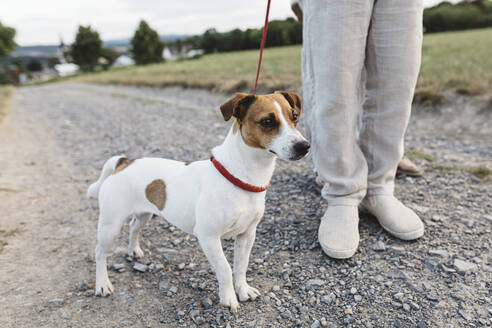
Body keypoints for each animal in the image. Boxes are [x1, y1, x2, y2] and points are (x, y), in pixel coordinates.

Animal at [87, 91, 310, 312]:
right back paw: (102, 284)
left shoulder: (247, 234)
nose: (305, 146)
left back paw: (133, 250)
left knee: (134, 228)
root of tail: (124, 161)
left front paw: (243, 290)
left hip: (144, 214)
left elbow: (241, 266)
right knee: (99, 253)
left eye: (294, 117)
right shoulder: (208, 237)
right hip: (110, 226)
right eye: (267, 121)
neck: (241, 175)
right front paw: (228, 297)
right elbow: (225, 268)